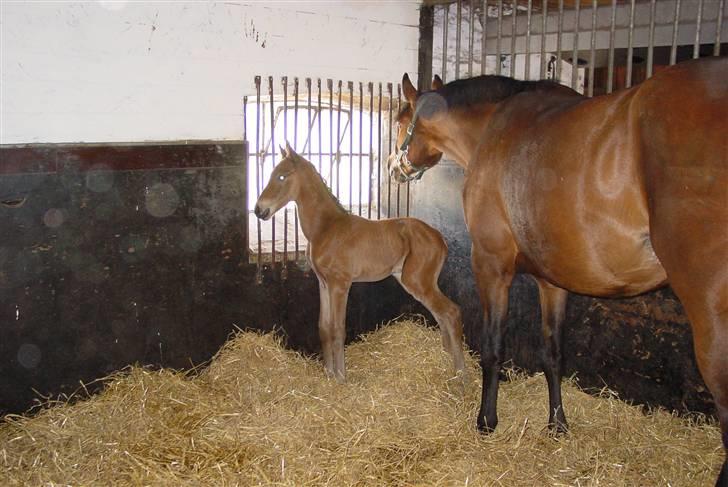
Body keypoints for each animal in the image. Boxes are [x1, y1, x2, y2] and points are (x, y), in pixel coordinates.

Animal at [253, 143, 464, 384]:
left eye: (281, 176)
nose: (258, 210)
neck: (326, 228)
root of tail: (439, 237)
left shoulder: (340, 285)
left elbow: (337, 329)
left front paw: (340, 378)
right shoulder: (323, 283)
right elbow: (324, 327)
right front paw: (328, 373)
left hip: (418, 281)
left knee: (451, 312)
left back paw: (461, 374)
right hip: (417, 281)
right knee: (442, 314)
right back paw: (447, 357)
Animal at [390, 57, 728, 484]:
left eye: (400, 121)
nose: (394, 168)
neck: (494, 126)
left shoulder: (490, 265)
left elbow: (493, 347)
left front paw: (486, 422)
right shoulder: (552, 281)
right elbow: (552, 353)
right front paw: (557, 425)